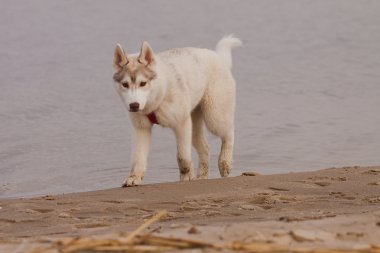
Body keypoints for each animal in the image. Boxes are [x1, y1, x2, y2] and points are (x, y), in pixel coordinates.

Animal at [113, 35, 242, 186]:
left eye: (143, 83)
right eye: (125, 85)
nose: (134, 105)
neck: (159, 94)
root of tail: (219, 57)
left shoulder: (181, 124)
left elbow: (183, 157)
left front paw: (186, 177)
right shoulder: (141, 128)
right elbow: (138, 157)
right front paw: (134, 177)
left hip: (214, 116)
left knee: (229, 133)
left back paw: (225, 163)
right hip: (194, 124)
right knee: (205, 147)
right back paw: (202, 176)